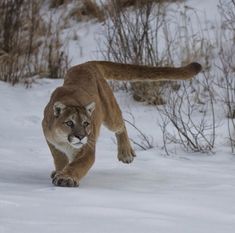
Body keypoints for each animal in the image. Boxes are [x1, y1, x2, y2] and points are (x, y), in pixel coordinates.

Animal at [42, 60, 202, 187]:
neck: (65, 142)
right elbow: (59, 158)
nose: (81, 136)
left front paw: (66, 177)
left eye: (86, 123)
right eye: (69, 123)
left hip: (110, 114)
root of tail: (85, 64)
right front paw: (59, 171)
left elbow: (78, 164)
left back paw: (125, 153)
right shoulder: (51, 140)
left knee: (121, 123)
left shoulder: (88, 148)